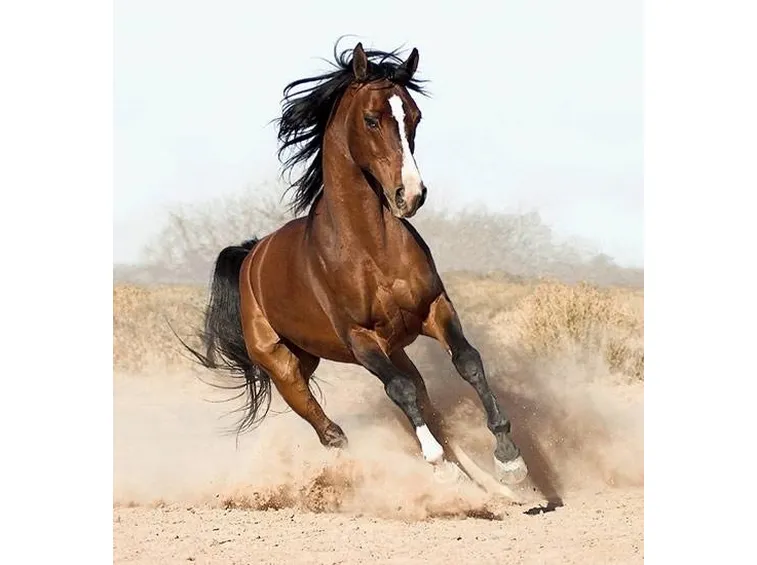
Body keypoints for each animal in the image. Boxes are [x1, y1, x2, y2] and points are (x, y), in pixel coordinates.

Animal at [184, 41, 529, 491]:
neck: (370, 248)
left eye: (414, 116)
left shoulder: (434, 308)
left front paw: (509, 459)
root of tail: (251, 256)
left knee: (423, 401)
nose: (410, 195)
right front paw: (437, 462)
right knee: (332, 430)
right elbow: (399, 391)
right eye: (371, 119)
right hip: (284, 367)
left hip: (375, 349)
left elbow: (468, 362)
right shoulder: (359, 338)